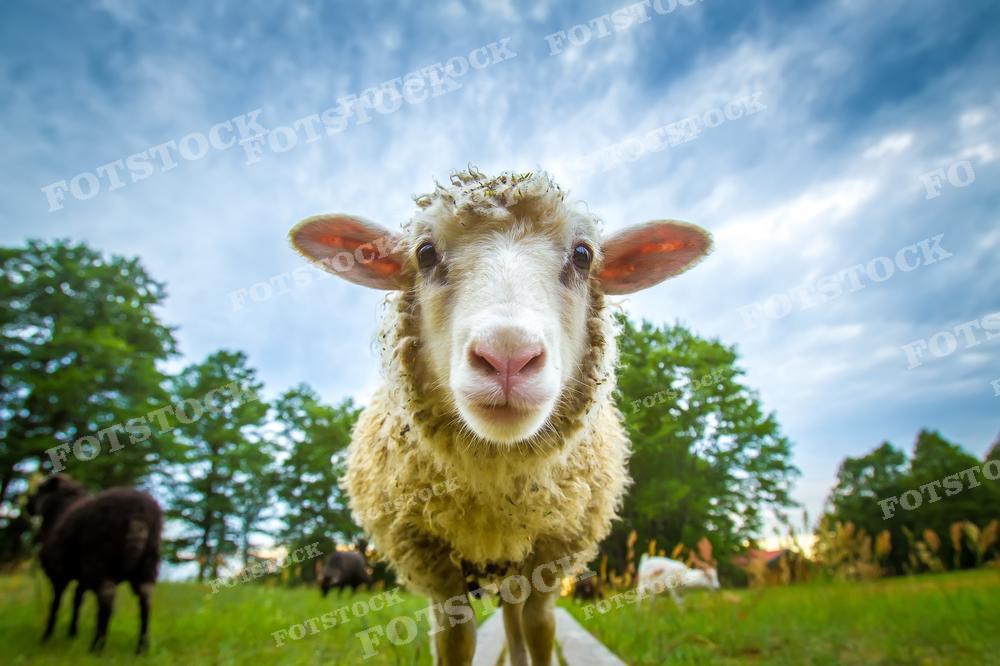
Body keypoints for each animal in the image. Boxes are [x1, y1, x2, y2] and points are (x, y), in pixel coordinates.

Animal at [26, 474, 163, 654]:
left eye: (40, 488)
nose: (27, 505)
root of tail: (137, 514)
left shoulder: (58, 573)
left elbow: (55, 604)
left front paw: (47, 636)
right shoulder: (82, 577)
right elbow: (77, 601)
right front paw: (72, 634)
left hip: (100, 559)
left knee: (107, 597)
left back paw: (97, 646)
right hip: (147, 564)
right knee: (146, 599)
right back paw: (142, 647)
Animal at [289, 169, 712, 666]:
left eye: (583, 255)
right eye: (425, 253)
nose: (508, 356)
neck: (495, 484)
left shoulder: (552, 552)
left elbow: (540, 628)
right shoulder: (434, 564)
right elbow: (456, 640)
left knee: (517, 620)